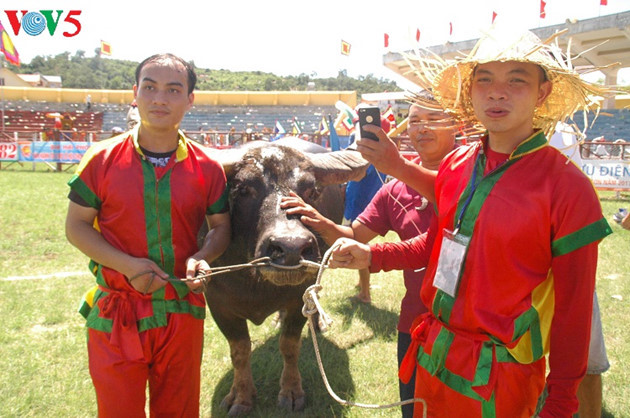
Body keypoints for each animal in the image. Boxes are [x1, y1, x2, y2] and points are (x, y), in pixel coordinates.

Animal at [205, 138, 369, 416]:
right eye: (242, 188)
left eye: (312, 191)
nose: (291, 248)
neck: (256, 283)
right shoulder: (217, 303)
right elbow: (240, 350)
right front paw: (241, 397)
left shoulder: (298, 297)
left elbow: (289, 346)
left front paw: (291, 392)